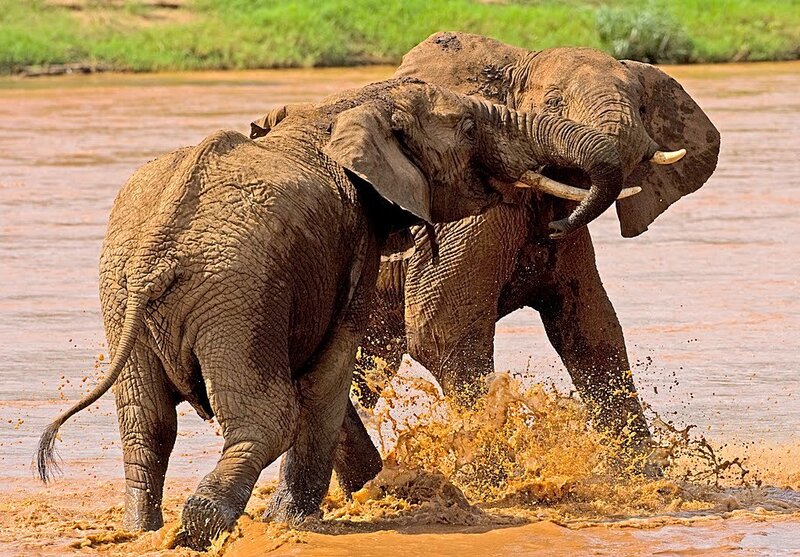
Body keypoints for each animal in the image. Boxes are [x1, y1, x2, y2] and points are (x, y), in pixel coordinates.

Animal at [37, 77, 626, 550]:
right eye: (466, 125)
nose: (557, 225)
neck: (341, 106)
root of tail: (158, 249)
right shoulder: (353, 244)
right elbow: (331, 367)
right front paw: (298, 523)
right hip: (239, 297)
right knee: (266, 417)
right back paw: (202, 528)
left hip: (124, 295)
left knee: (147, 425)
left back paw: (146, 531)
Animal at [349, 32, 721, 458]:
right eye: (554, 102)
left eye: (642, 107)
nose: (556, 228)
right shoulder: (464, 221)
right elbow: (441, 332)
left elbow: (592, 329)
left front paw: (640, 469)